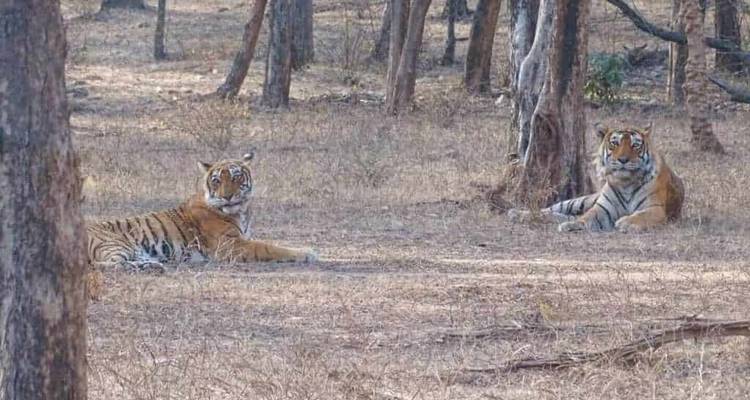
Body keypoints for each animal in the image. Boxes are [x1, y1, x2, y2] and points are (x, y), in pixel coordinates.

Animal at [87, 153, 318, 273]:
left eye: (236, 177)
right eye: (216, 180)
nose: (227, 196)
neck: (241, 211)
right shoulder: (231, 245)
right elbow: (271, 247)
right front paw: (308, 253)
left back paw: (151, 264)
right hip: (114, 243)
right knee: (106, 265)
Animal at [508, 123, 685, 232]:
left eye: (635, 145)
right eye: (614, 143)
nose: (623, 160)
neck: (625, 183)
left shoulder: (654, 209)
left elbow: (640, 216)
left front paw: (625, 222)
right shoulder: (602, 208)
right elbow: (587, 217)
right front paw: (575, 225)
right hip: (581, 200)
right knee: (550, 209)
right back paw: (517, 213)